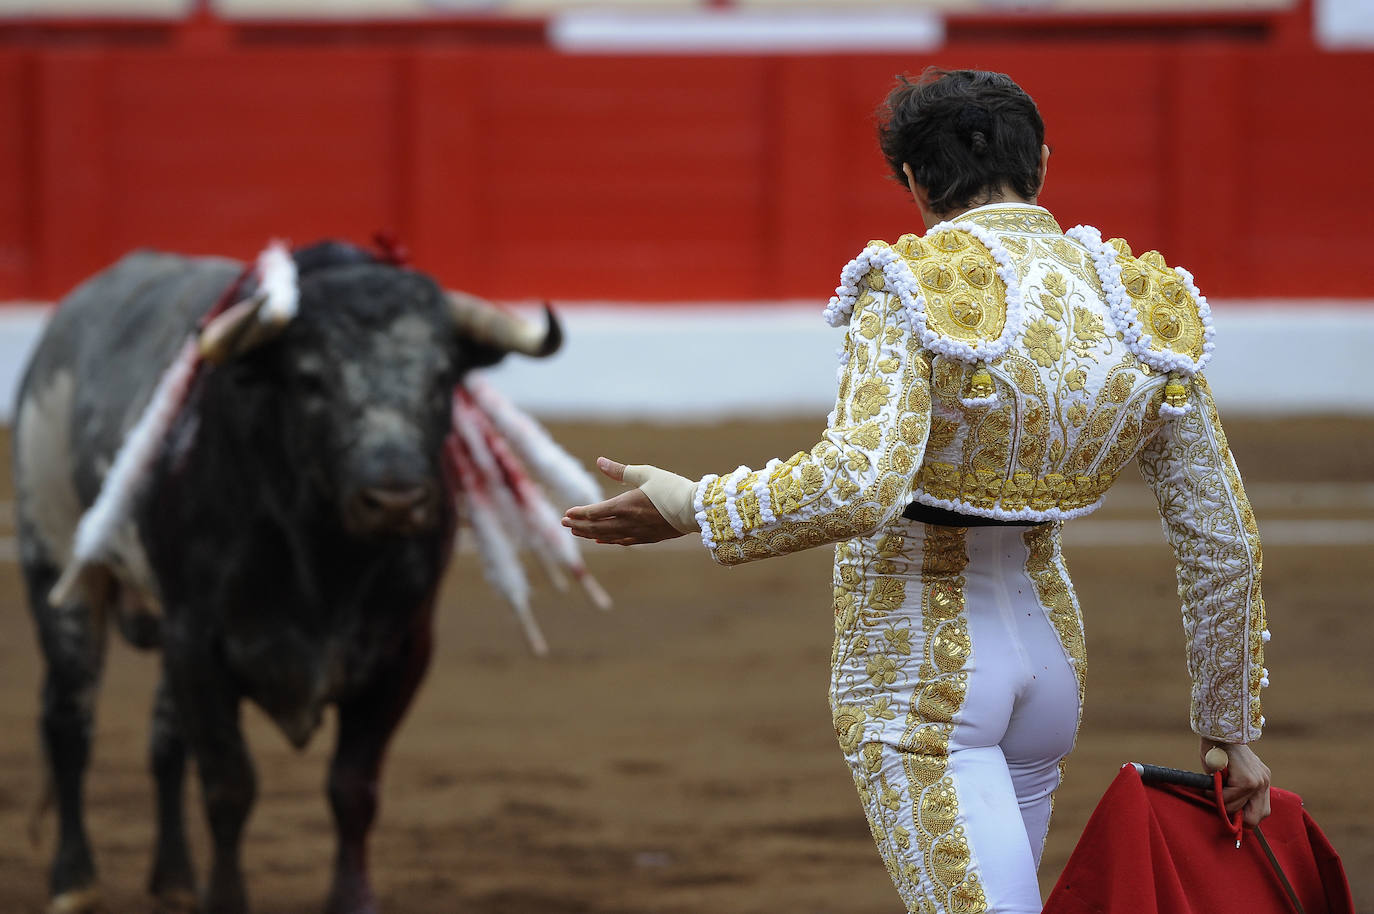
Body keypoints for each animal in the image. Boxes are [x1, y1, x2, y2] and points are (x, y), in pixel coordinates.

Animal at [10, 240, 557, 912]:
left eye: (442, 377)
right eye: (310, 379)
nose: (396, 500)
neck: (328, 558)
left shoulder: (404, 650)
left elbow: (353, 787)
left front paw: (352, 900)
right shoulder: (197, 643)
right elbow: (229, 783)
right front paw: (226, 900)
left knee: (165, 739)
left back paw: (174, 880)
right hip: (55, 555)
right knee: (69, 718)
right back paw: (74, 878)